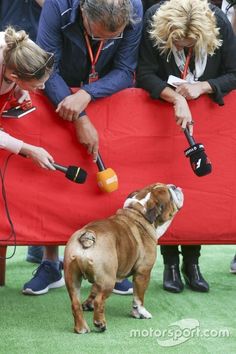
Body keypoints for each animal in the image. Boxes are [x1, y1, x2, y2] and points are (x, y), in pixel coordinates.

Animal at [63, 184, 183, 334]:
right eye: (170, 195)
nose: (174, 186)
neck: (140, 213)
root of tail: (87, 235)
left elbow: (94, 290)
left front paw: (88, 304)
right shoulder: (143, 273)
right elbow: (138, 298)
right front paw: (140, 313)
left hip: (72, 277)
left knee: (75, 303)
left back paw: (81, 328)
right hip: (108, 280)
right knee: (99, 301)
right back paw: (100, 324)